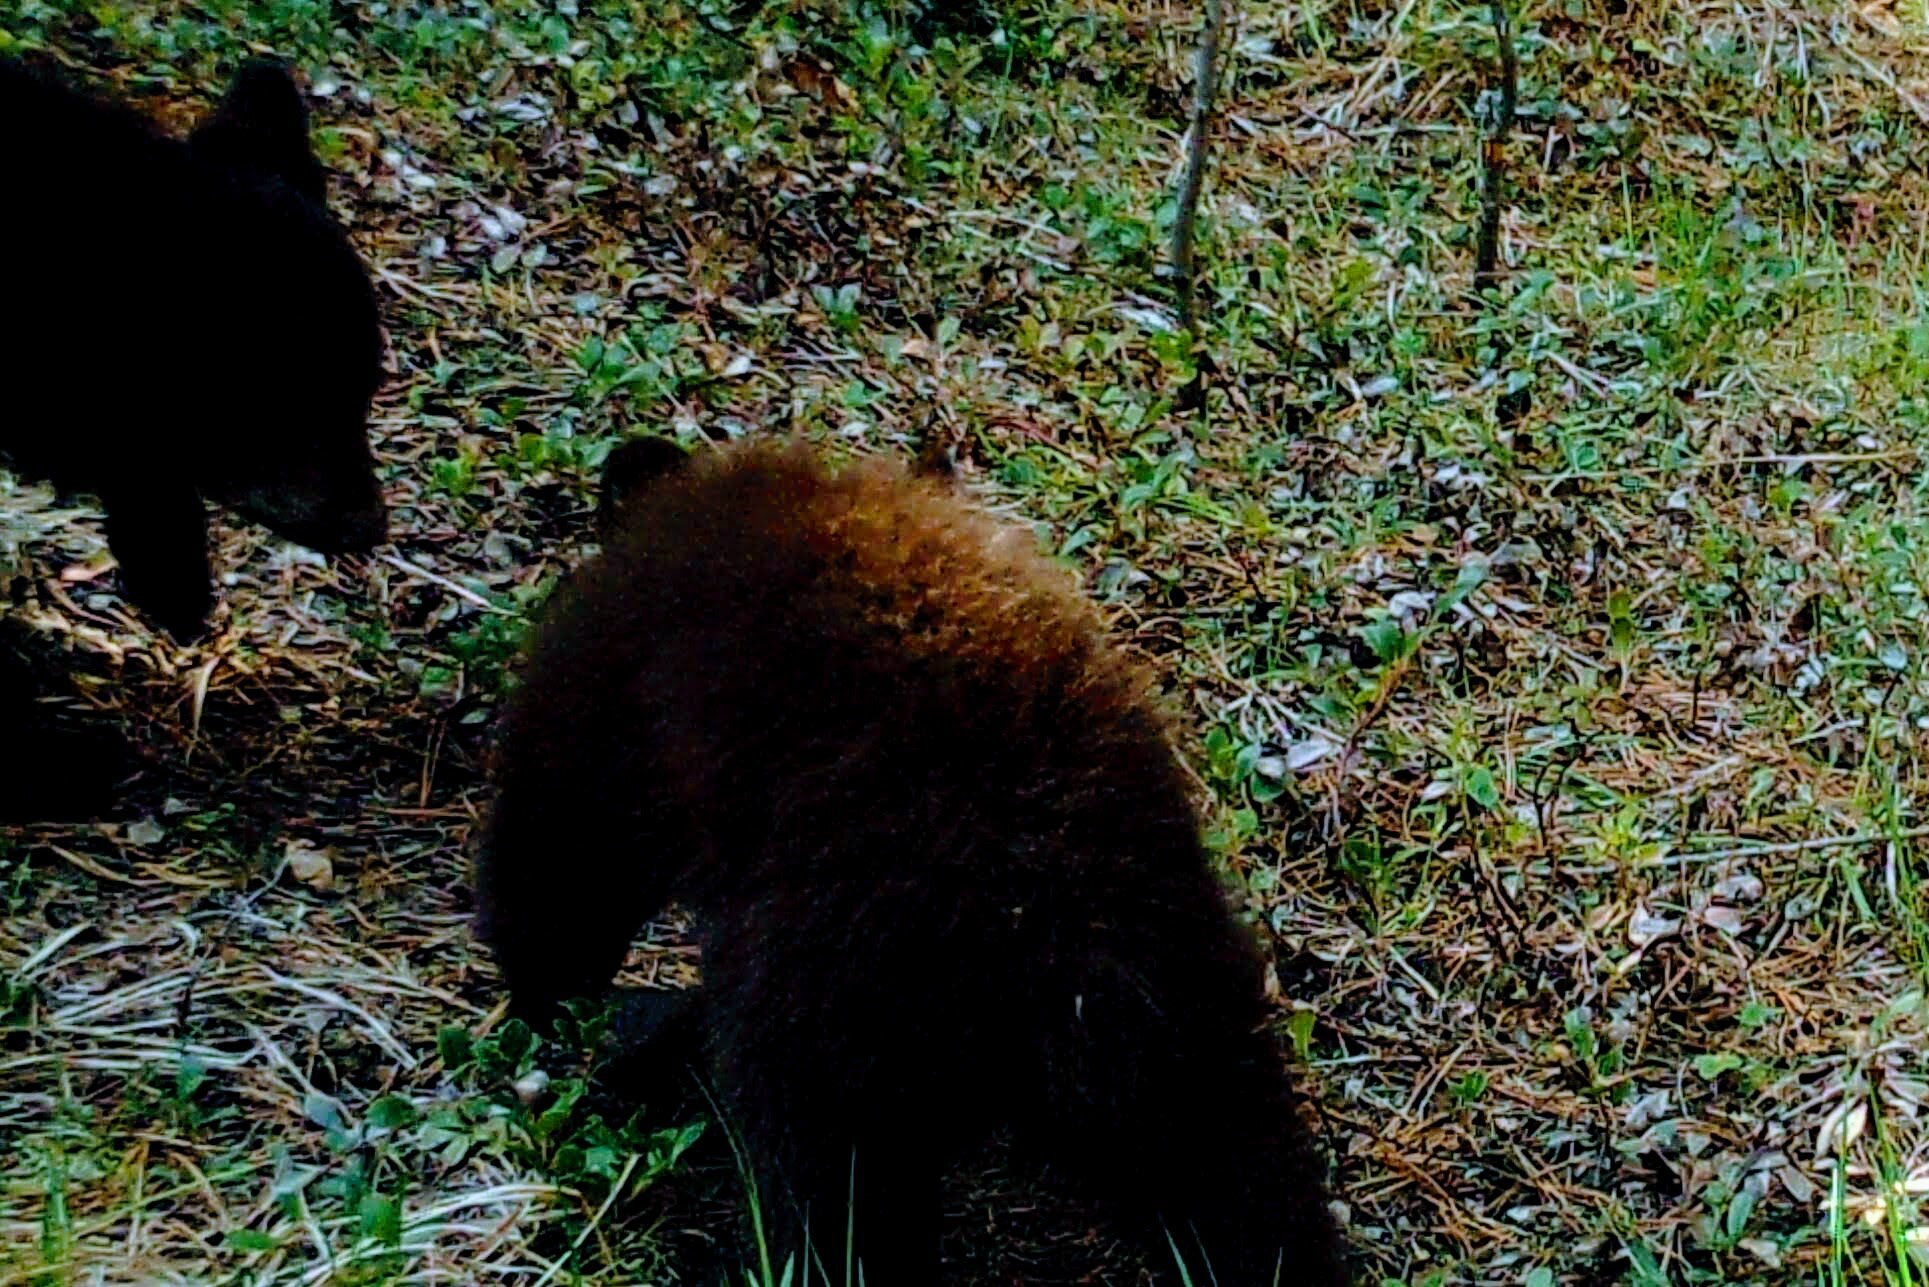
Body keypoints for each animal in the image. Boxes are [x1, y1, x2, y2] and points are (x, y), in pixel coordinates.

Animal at [480, 438, 1350, 1281]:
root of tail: (1046, 942)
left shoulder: (625, 683)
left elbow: (562, 839)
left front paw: (547, 998)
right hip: (1178, 998)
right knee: (1239, 1170)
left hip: (838, 1008)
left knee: (839, 1199)